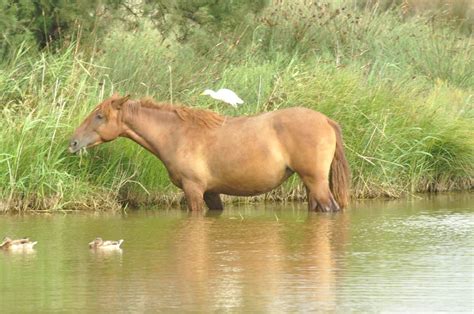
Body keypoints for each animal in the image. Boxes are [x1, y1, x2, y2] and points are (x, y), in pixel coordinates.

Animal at [71, 93, 352, 211]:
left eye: (99, 116)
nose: (73, 143)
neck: (177, 133)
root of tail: (326, 120)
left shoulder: (194, 190)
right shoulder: (212, 193)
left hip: (317, 183)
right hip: (309, 185)